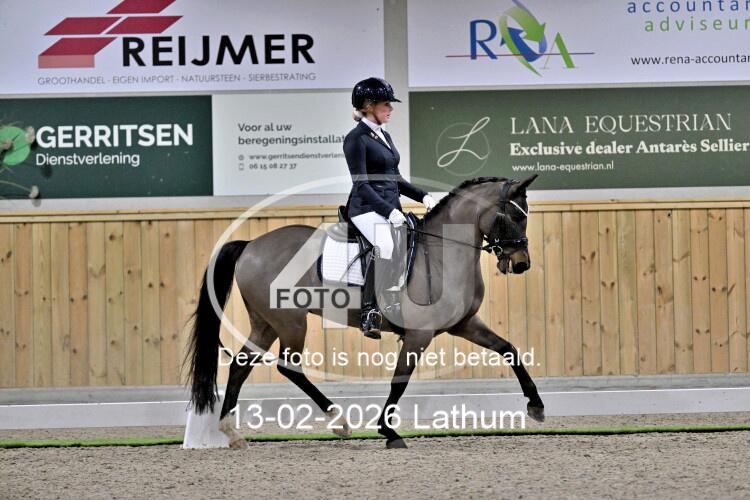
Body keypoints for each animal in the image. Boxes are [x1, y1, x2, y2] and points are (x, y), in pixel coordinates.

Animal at [185, 174, 545, 449]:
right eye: (516, 216)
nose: (521, 264)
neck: (443, 252)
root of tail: (250, 246)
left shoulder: (465, 324)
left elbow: (509, 349)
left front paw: (536, 406)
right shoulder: (419, 335)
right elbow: (400, 380)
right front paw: (389, 431)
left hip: (266, 324)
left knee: (240, 365)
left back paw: (232, 433)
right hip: (291, 322)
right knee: (289, 367)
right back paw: (339, 422)